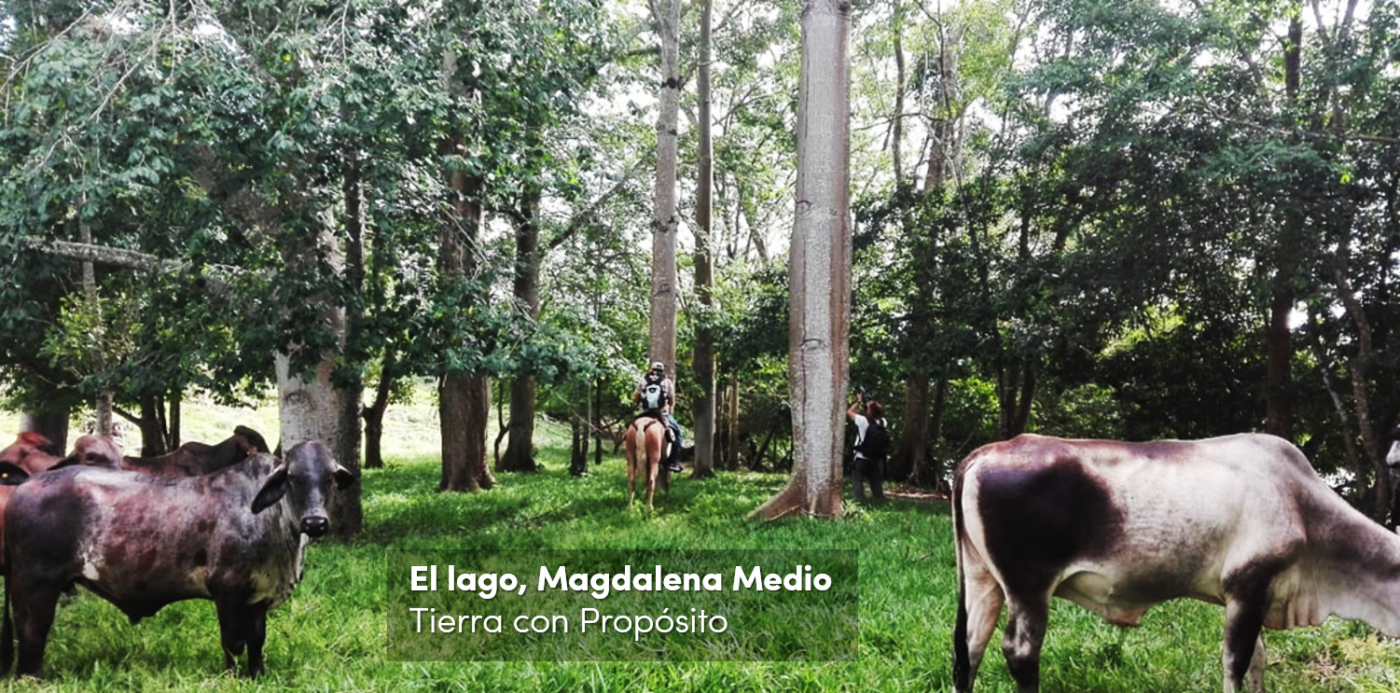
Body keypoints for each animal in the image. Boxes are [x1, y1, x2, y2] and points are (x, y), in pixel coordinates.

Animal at [0, 440, 355, 679]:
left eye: (330, 477)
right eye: (293, 477)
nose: (315, 523)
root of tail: (25, 484)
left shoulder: (258, 595)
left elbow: (256, 641)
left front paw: (257, 675)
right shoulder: (226, 590)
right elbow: (233, 642)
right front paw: (232, 676)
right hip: (37, 585)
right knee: (33, 631)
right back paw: (33, 677)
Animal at [952, 433, 1400, 693]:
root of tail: (985, 452)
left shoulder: (1258, 594)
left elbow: (1257, 660)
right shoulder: (1248, 586)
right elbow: (1236, 664)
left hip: (982, 580)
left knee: (969, 648)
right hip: (1029, 588)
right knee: (1020, 652)